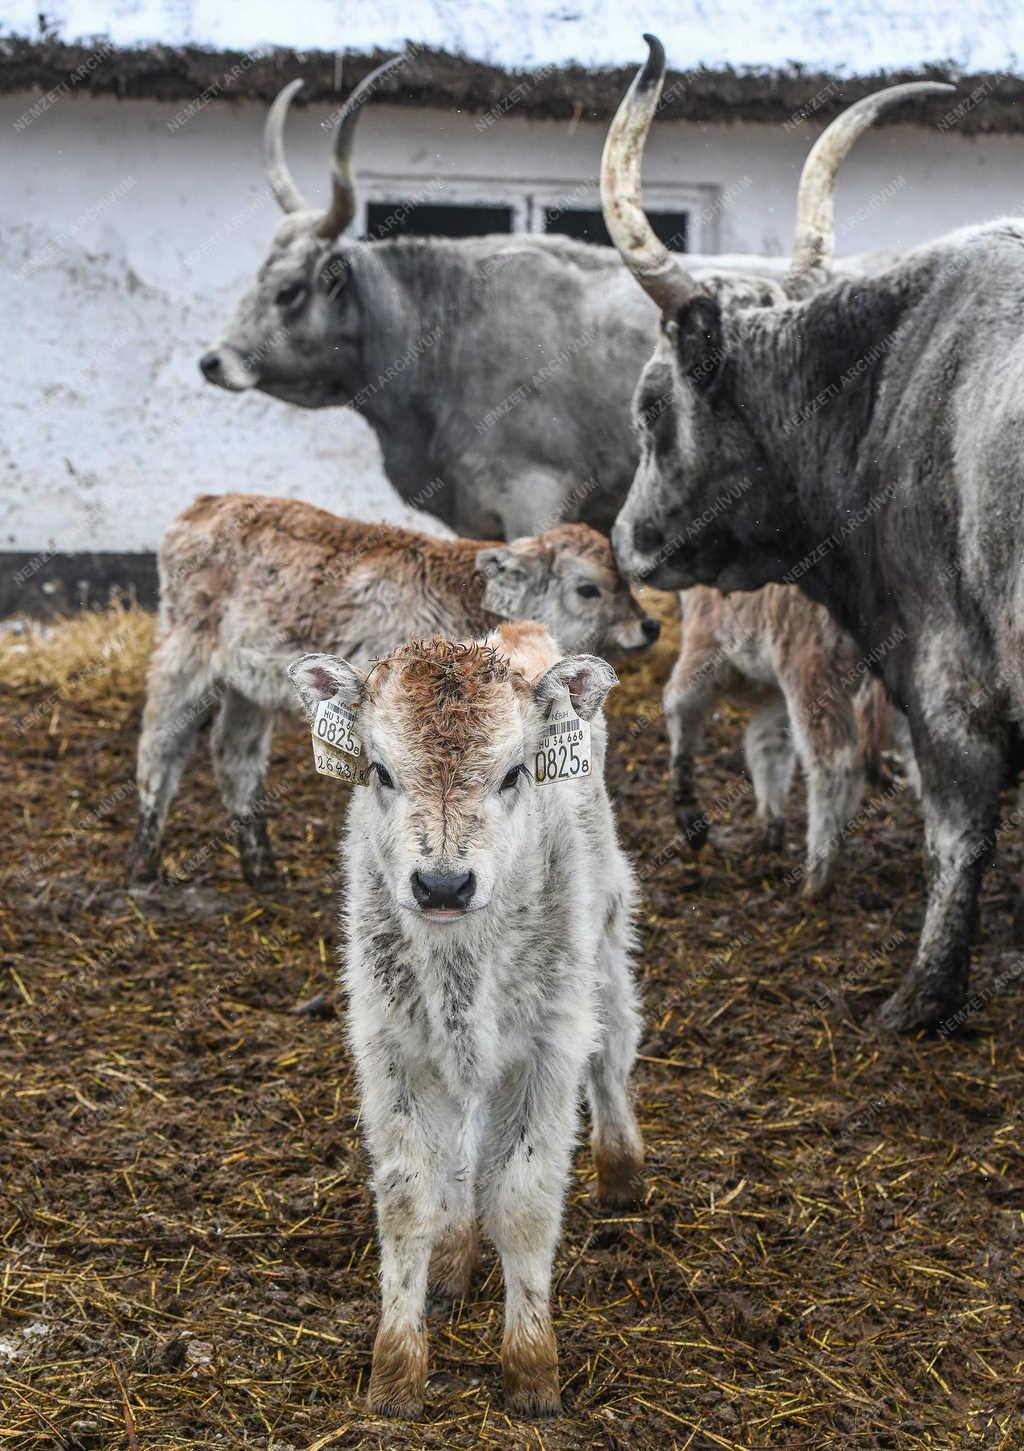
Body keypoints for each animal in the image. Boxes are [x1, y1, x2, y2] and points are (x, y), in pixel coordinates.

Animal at [127, 493, 655, 888]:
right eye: (588, 589)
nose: (649, 626)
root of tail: (208, 502)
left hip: (247, 685)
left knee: (234, 756)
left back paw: (261, 868)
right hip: (183, 654)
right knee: (160, 745)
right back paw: (143, 861)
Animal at [667, 583, 910, 888]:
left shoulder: (707, 639)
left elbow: (681, 706)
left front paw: (689, 815)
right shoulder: (772, 691)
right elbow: (768, 746)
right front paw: (771, 831)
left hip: (813, 668)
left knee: (835, 764)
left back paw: (817, 874)